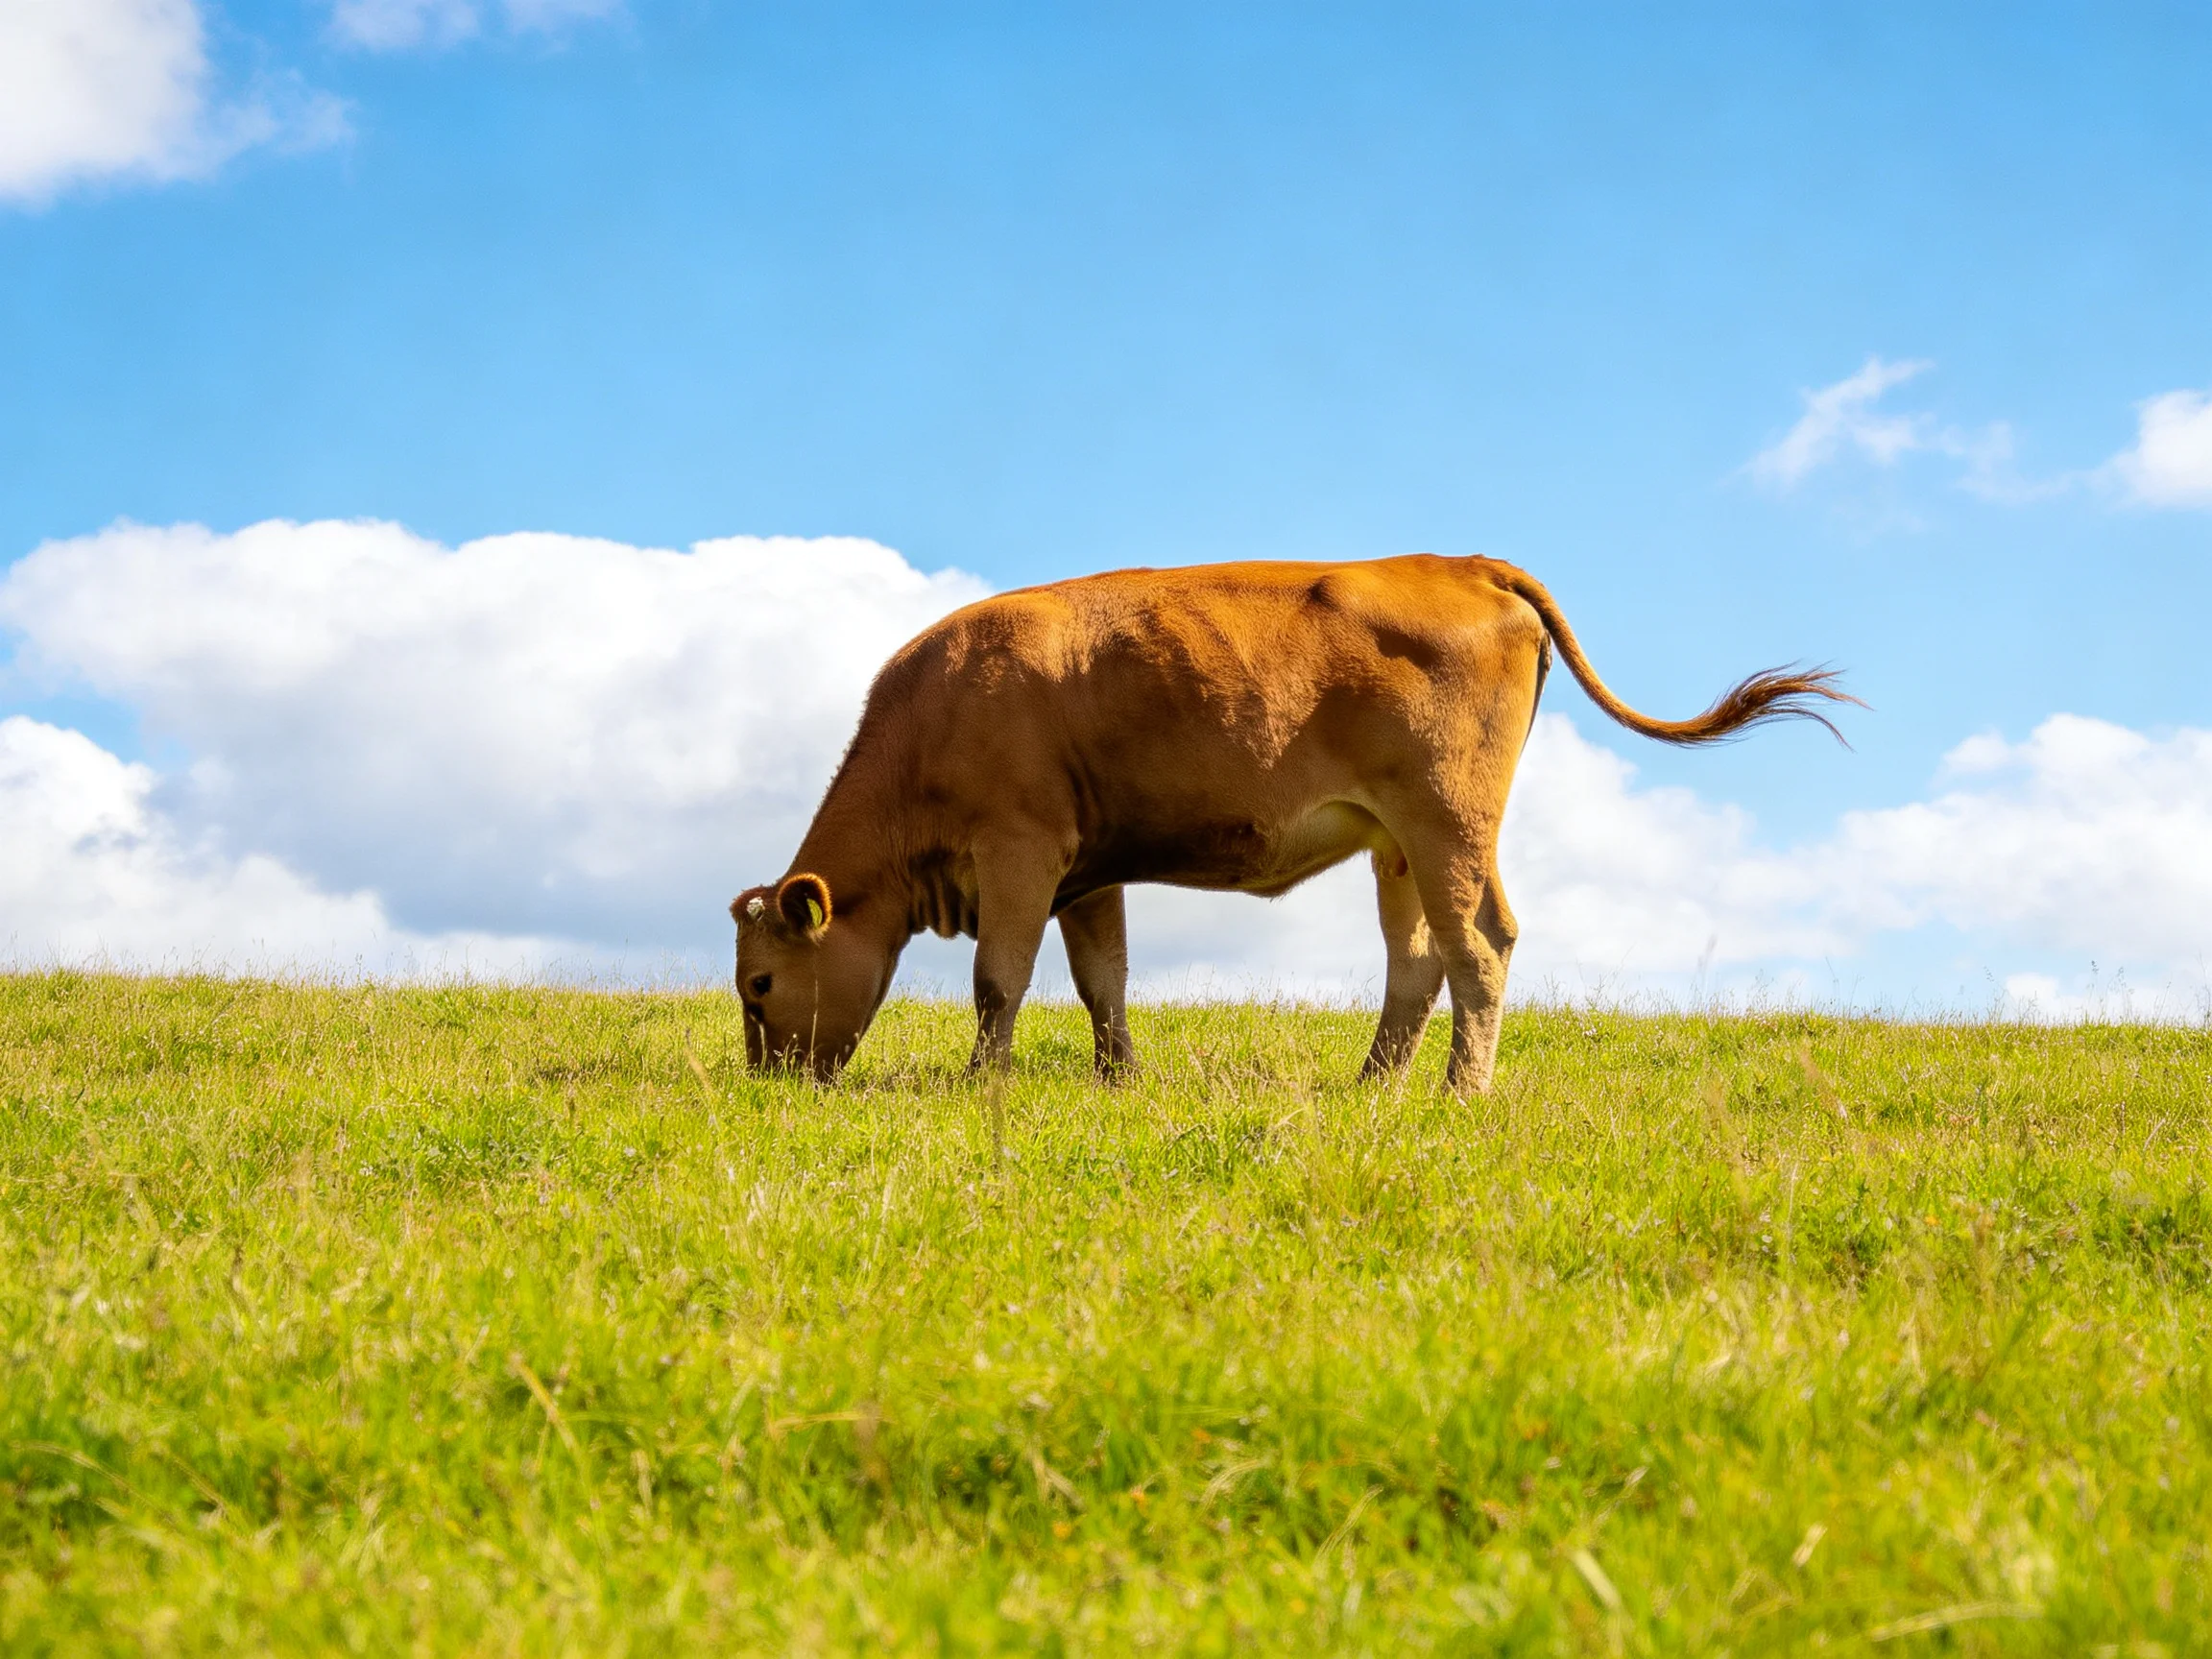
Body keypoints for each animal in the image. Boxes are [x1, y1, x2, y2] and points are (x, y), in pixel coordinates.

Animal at [731, 554, 1852, 1092]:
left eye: (759, 984)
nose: (772, 1086)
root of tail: (1462, 560)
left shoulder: (1020, 851)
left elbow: (999, 978)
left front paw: (980, 1085)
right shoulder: (1088, 871)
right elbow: (1103, 981)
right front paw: (1117, 1081)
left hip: (1450, 821)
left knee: (1480, 944)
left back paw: (1460, 1096)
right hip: (1397, 845)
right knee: (1419, 960)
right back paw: (1373, 1086)